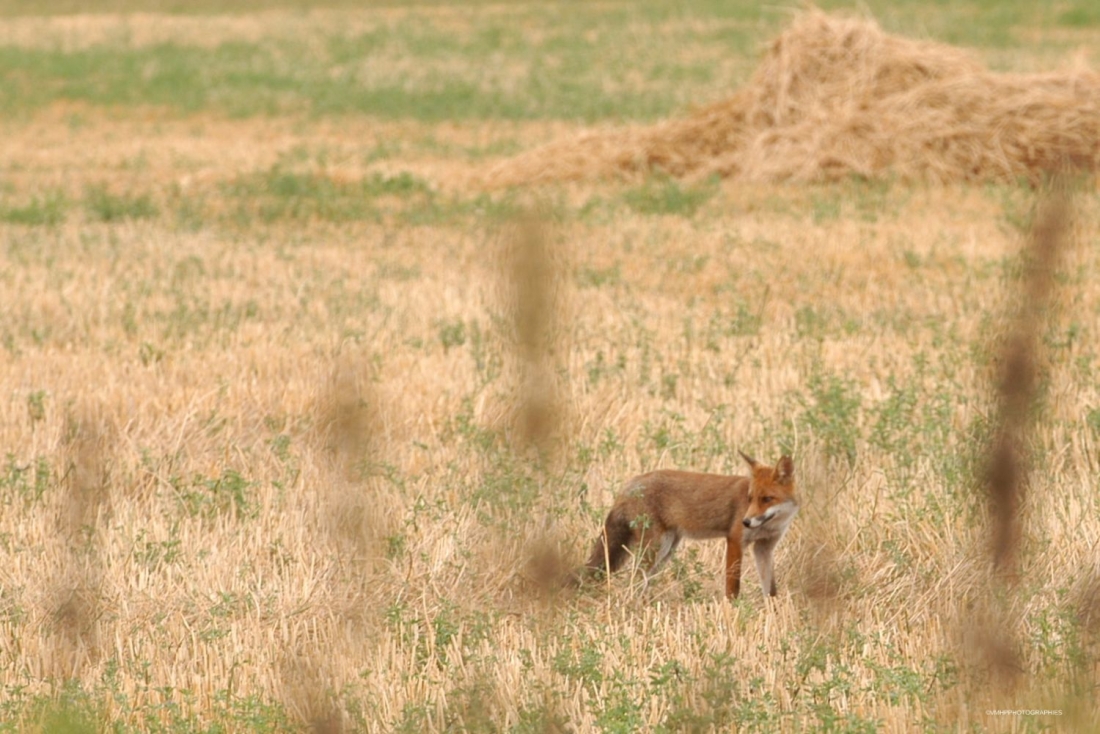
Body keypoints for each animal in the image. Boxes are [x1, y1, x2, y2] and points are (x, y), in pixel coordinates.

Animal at [582, 451, 798, 598]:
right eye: (750, 498)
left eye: (767, 499)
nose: (746, 521)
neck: (771, 525)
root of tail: (630, 483)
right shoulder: (735, 540)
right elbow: (733, 586)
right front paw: (732, 611)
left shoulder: (764, 548)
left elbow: (770, 589)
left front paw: (773, 613)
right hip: (656, 548)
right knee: (634, 578)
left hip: (666, 549)